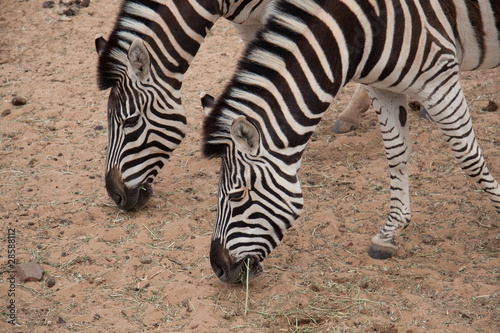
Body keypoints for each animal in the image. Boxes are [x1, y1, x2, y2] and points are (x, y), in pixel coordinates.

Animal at [202, 0, 500, 282]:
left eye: (237, 195)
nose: (217, 267)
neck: (361, 26)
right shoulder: (384, 87)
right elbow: (396, 153)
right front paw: (389, 233)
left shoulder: (439, 79)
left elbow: (468, 156)